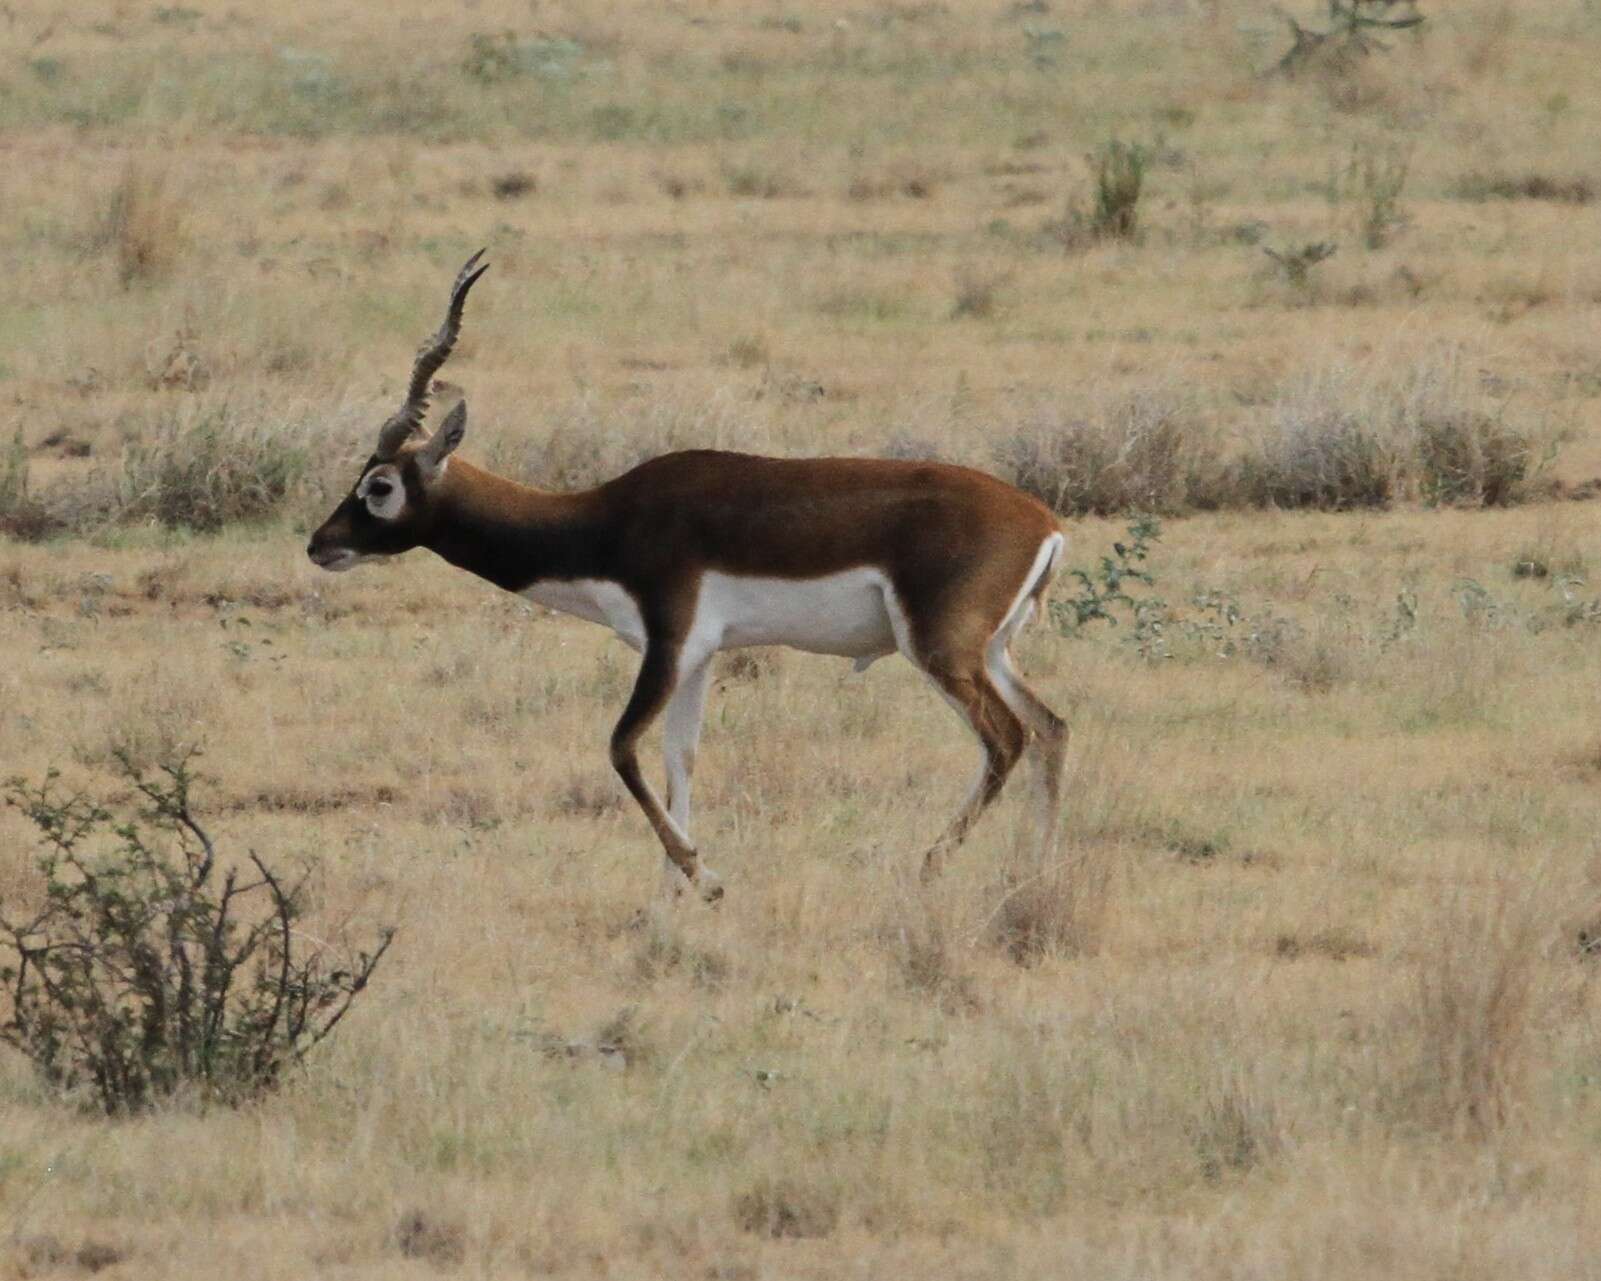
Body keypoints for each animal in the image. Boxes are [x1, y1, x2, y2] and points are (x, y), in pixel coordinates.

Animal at [307, 252, 1069, 903]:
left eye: (378, 485)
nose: (320, 545)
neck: (605, 522)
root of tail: (1044, 522)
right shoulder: (700, 656)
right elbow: (682, 758)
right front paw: (671, 892)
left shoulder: (668, 642)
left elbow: (621, 748)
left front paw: (705, 879)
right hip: (990, 652)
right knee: (1052, 728)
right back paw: (1032, 872)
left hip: (939, 650)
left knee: (1007, 738)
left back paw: (930, 864)